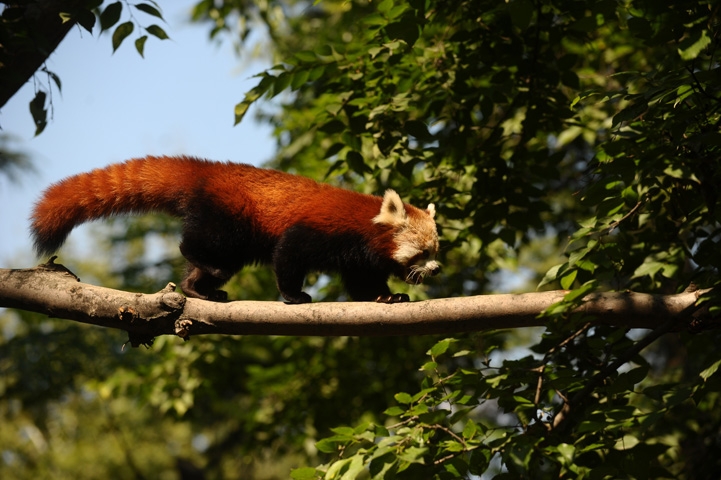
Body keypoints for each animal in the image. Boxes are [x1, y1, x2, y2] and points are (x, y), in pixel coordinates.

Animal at [29, 156, 438, 302]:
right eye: (423, 252)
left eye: (435, 252)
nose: (435, 270)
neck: (365, 228)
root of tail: (206, 171)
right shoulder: (322, 230)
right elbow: (288, 253)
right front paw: (293, 295)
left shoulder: (358, 256)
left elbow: (362, 281)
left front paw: (387, 297)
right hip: (228, 219)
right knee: (205, 245)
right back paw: (201, 266)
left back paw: (199, 288)